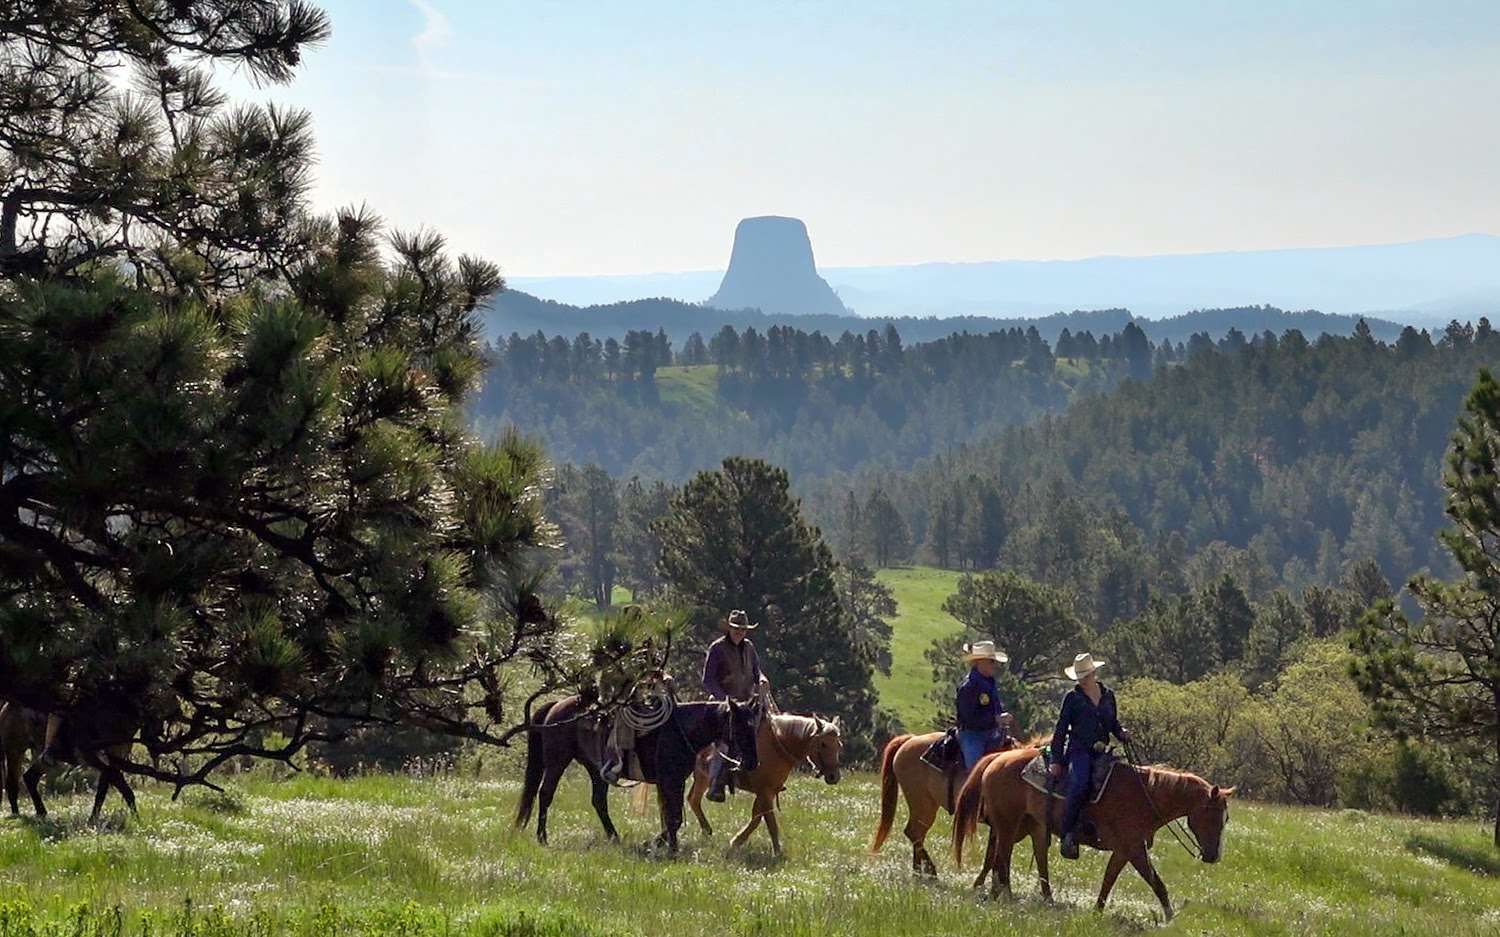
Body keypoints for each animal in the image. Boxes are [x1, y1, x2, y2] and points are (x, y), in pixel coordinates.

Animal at [0, 704, 140, 821]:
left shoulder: (112, 757)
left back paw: (40, 813)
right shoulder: (95, 757)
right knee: (13, 783)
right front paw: (136, 819)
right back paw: (18, 815)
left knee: (29, 777)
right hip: (15, 752)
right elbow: (120, 786)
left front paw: (94, 818)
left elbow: (103, 789)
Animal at [687, 707, 846, 857]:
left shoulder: (766, 792)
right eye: (823, 744)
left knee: (693, 799)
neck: (776, 747)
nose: (834, 776)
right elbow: (770, 823)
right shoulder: (765, 792)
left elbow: (757, 817)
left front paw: (737, 842)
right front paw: (777, 853)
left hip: (701, 777)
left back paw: (707, 832)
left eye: (839, 745)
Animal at [864, 731, 1026, 875]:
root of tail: (910, 739)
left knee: (917, 834)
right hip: (922, 805)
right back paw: (929, 871)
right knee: (914, 832)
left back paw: (919, 872)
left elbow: (991, 857)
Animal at [954, 746, 1236, 923]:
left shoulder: (1125, 851)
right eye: (1212, 816)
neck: (1145, 796)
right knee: (1001, 859)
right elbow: (1156, 883)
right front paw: (1170, 918)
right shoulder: (1134, 849)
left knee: (1010, 859)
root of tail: (998, 758)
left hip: (1025, 826)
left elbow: (1109, 881)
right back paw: (1005, 896)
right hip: (1008, 824)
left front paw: (1097, 912)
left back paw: (1021, 897)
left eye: (1226, 818)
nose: (1213, 856)